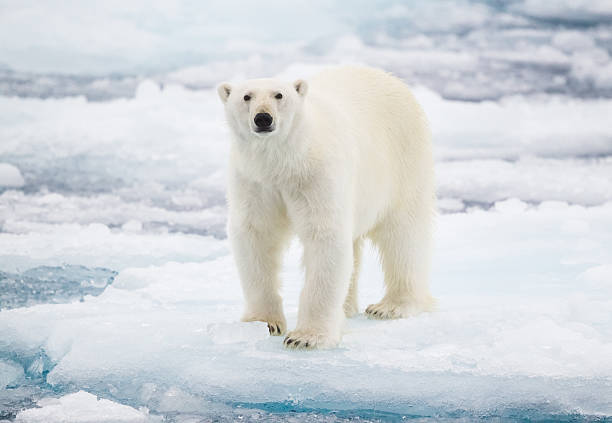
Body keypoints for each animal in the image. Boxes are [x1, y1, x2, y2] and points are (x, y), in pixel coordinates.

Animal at [219, 65, 436, 352]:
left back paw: (391, 306)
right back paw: (348, 307)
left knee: (403, 235)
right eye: (246, 96)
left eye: (279, 95)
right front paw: (263, 323)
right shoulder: (254, 180)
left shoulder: (316, 175)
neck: (285, 162)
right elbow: (256, 235)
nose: (263, 118)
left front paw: (306, 337)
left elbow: (324, 237)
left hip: (403, 159)